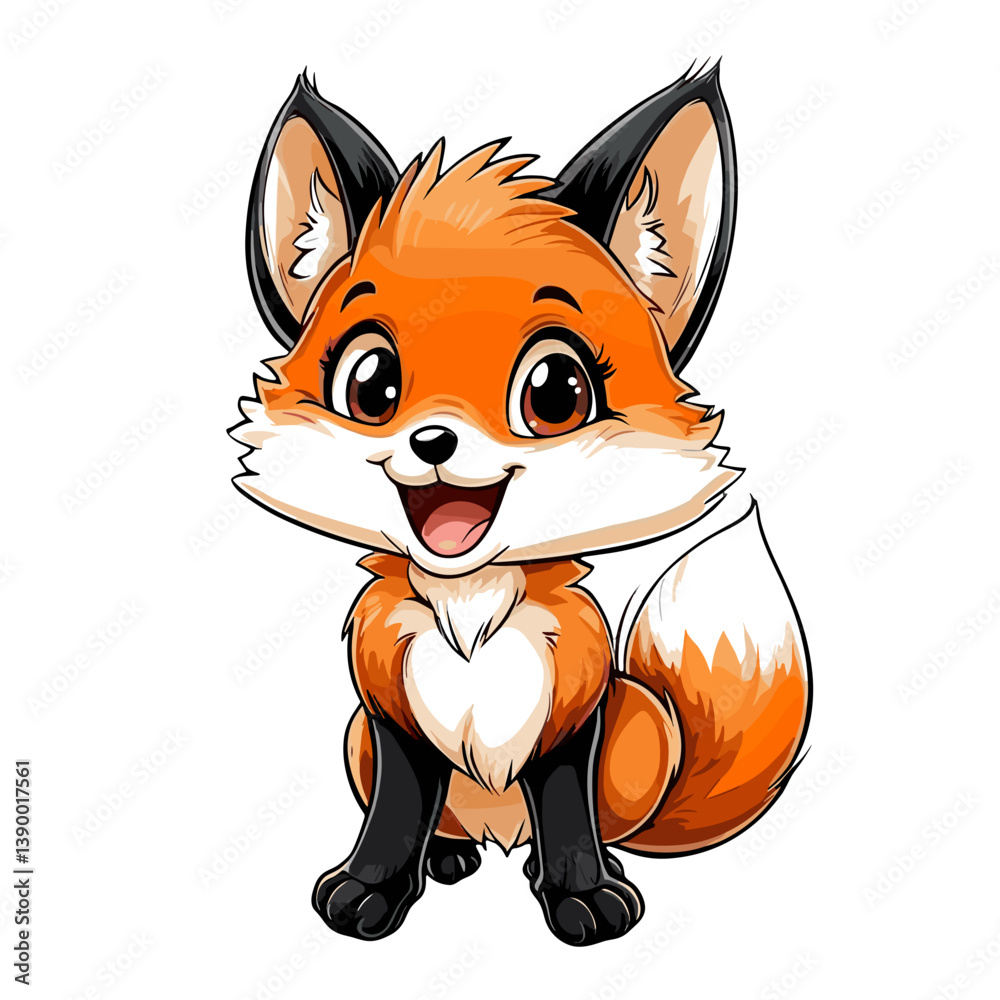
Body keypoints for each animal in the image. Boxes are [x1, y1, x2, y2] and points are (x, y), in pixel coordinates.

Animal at [230, 64, 811, 947]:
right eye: (371, 385)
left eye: (556, 392)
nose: (434, 439)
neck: (469, 611)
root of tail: (496, 832)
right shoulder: (390, 721)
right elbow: (397, 814)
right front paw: (372, 889)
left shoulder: (570, 721)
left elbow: (567, 815)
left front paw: (583, 895)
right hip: (356, 738)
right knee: (446, 822)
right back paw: (451, 856)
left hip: (638, 726)